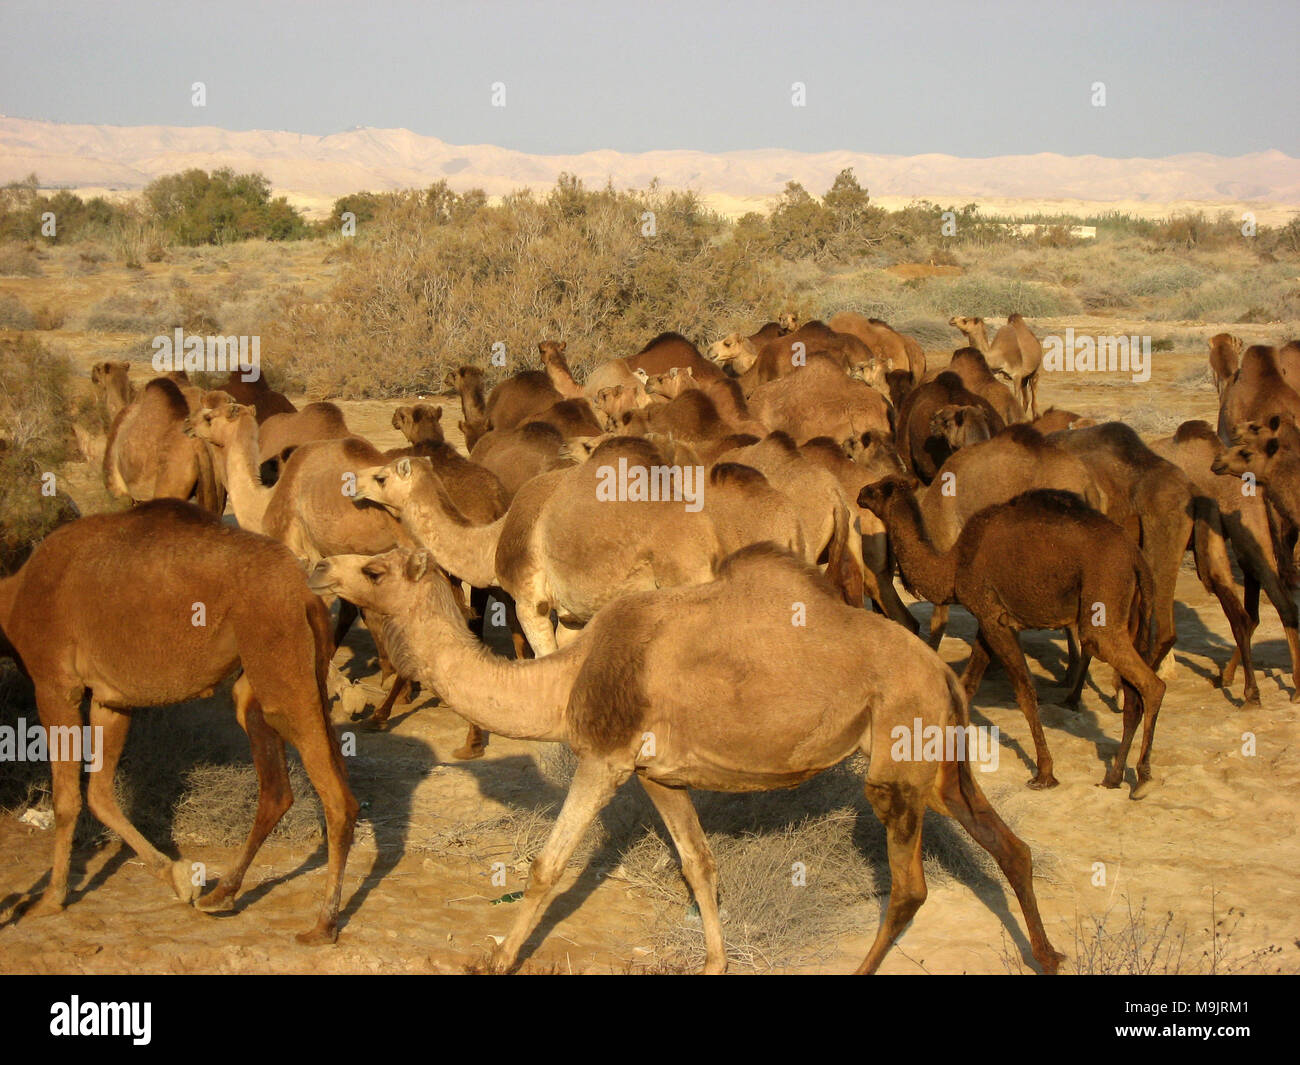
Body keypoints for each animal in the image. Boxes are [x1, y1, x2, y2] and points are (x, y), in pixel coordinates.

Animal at [0, 501, 356, 941]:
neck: (14, 596)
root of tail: (306, 591)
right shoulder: (110, 699)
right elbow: (100, 793)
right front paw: (179, 877)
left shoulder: (55, 686)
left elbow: (68, 799)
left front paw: (47, 901)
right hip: (275, 677)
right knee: (281, 787)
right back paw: (220, 894)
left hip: (281, 665)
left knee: (335, 798)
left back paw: (323, 924)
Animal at [309, 542, 1063, 975]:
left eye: (373, 568)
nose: (317, 567)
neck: (566, 679)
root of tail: (941, 672)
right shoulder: (658, 775)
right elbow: (699, 865)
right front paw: (714, 962)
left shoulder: (605, 758)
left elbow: (547, 867)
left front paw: (492, 957)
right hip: (935, 759)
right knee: (1010, 846)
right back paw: (1050, 955)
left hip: (896, 756)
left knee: (908, 887)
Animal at [859, 478, 1164, 794]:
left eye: (879, 489)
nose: (860, 493)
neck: (954, 567)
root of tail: (1137, 559)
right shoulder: (988, 619)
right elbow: (967, 685)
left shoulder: (994, 619)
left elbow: (1025, 693)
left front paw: (1044, 774)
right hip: (1131, 616)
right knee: (1133, 697)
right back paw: (1114, 777)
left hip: (1103, 606)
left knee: (1150, 684)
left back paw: (1143, 779)